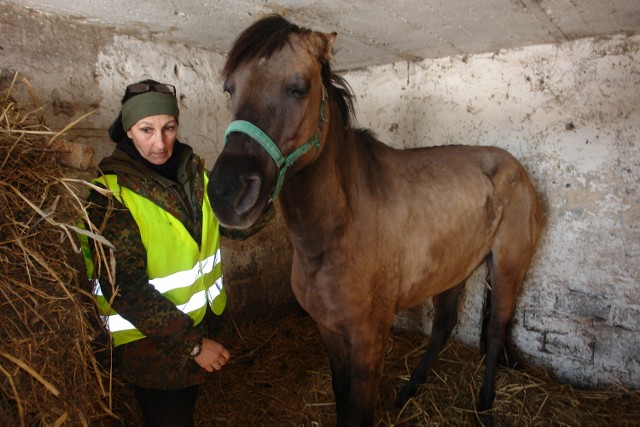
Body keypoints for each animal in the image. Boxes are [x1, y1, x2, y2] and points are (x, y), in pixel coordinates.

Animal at [208, 14, 544, 427]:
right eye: (230, 89)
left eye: (298, 87)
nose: (227, 192)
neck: (337, 233)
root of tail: (517, 169)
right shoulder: (329, 330)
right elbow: (341, 396)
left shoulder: (369, 339)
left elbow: (359, 410)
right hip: (454, 270)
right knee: (443, 327)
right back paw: (410, 389)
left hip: (509, 267)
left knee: (495, 332)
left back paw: (484, 403)